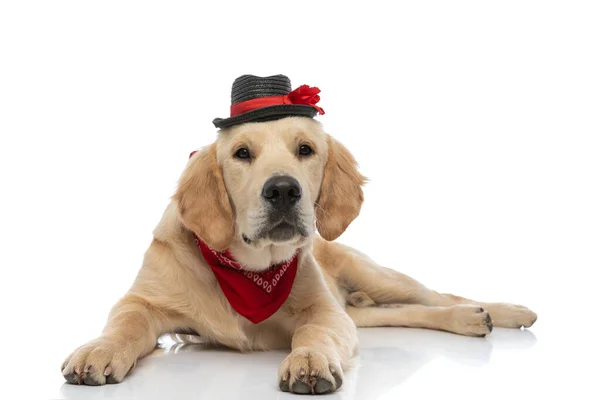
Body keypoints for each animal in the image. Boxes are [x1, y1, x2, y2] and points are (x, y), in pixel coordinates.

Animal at [62, 115, 540, 394]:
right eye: (241, 153)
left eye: (305, 150)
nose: (282, 190)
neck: (246, 271)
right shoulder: (143, 300)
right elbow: (124, 324)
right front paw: (98, 350)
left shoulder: (324, 311)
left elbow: (314, 332)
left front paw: (309, 359)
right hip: (363, 309)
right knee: (406, 311)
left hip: (374, 275)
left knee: (439, 297)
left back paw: (498, 312)